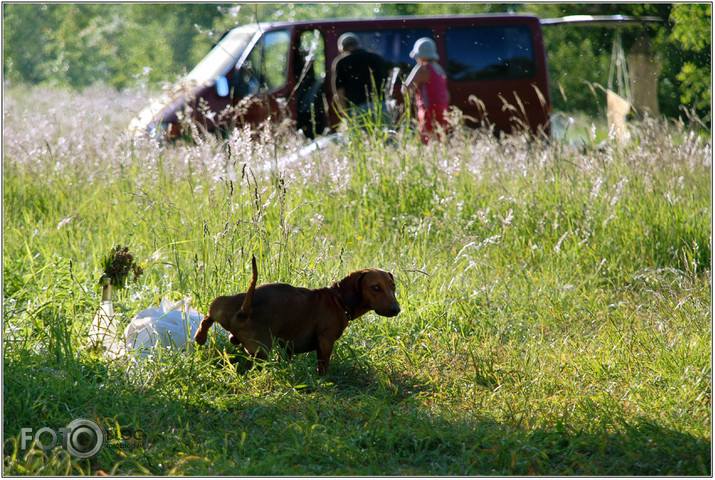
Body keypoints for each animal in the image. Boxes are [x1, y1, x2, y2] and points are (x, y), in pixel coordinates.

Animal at [194, 258, 402, 376]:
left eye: (393, 286)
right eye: (376, 287)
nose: (396, 309)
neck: (338, 299)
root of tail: (244, 310)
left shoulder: (286, 347)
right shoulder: (325, 341)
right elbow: (323, 366)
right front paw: (323, 381)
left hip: (221, 305)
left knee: (208, 316)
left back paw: (200, 336)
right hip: (261, 350)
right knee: (248, 366)